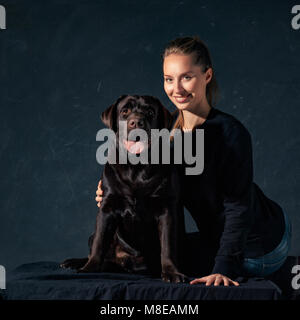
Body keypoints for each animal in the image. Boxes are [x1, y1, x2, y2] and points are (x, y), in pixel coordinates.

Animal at [60, 95, 188, 282]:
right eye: (125, 111)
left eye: (150, 112)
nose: (136, 122)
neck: (136, 168)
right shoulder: (107, 207)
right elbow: (99, 243)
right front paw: (89, 268)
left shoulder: (167, 210)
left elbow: (167, 246)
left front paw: (171, 272)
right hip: (94, 236)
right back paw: (76, 262)